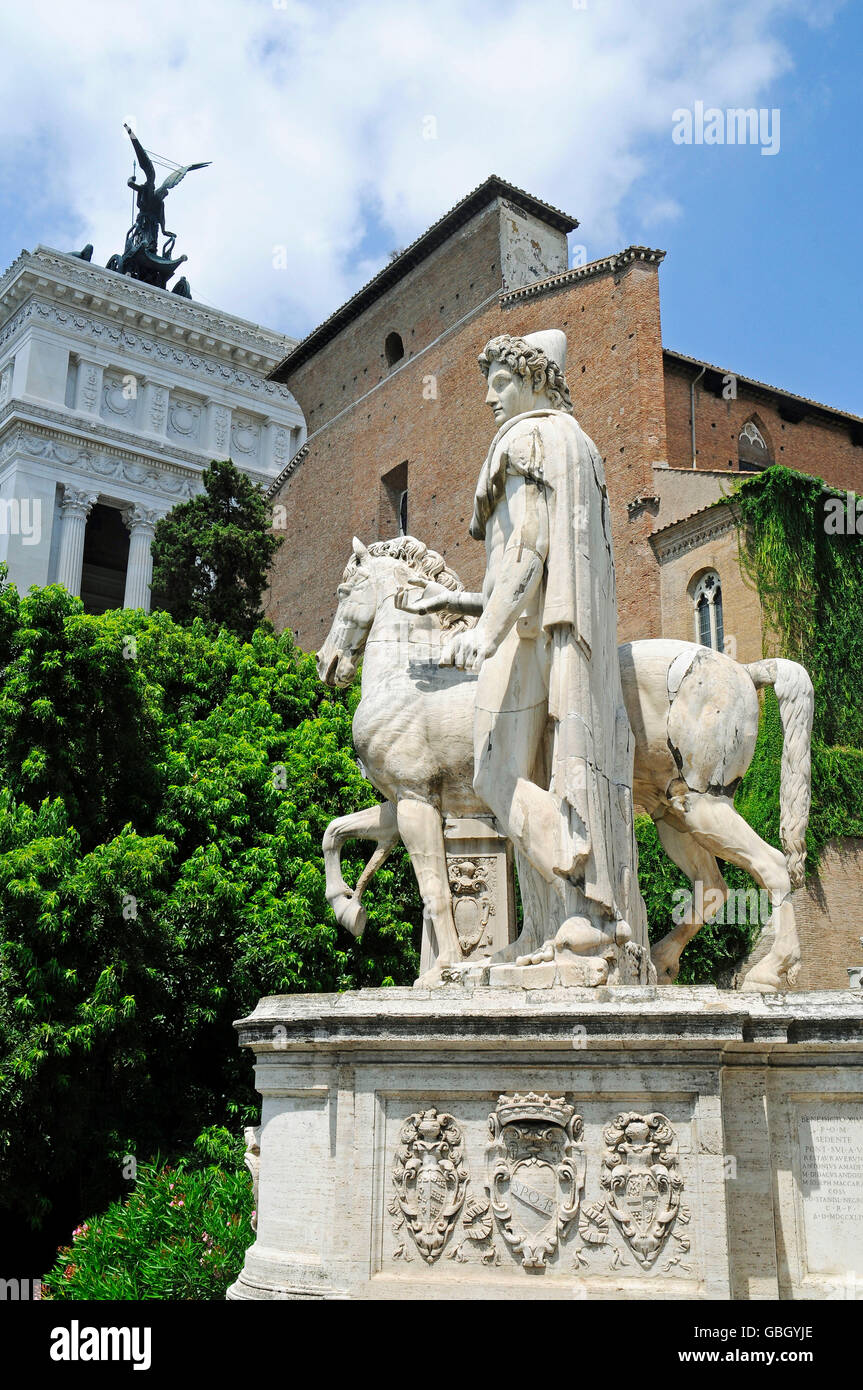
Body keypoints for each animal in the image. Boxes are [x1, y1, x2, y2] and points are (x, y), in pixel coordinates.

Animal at [316, 533, 806, 989]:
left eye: (343, 590)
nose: (326, 662)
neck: (407, 681)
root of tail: (742, 670)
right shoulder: (400, 803)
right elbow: (334, 831)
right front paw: (348, 909)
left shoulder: (415, 800)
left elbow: (434, 888)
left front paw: (443, 968)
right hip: (672, 812)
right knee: (713, 888)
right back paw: (651, 960)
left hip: (702, 801)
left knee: (774, 867)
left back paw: (767, 971)